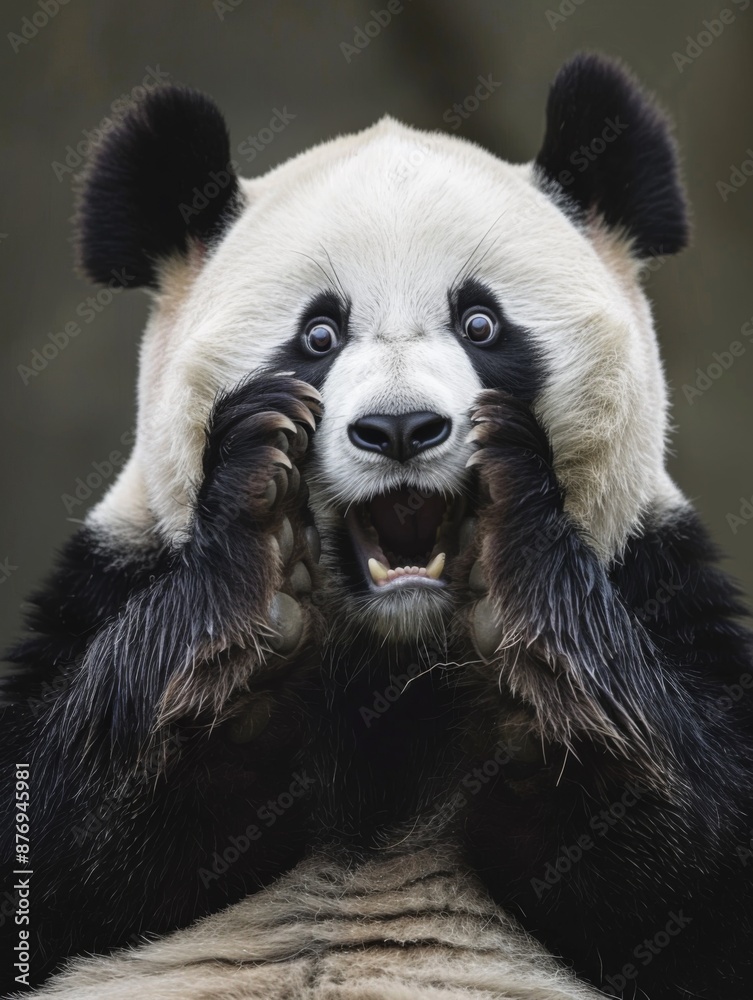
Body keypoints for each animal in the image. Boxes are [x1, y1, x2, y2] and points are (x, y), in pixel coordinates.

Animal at [2, 51, 753, 1000]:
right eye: (318, 334)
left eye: (480, 322)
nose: (400, 428)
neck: (396, 657)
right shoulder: (113, 579)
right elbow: (62, 827)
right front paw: (254, 528)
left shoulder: (658, 579)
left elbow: (693, 865)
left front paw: (516, 542)